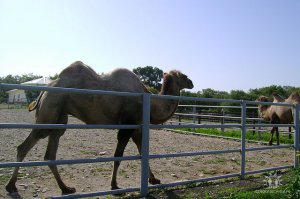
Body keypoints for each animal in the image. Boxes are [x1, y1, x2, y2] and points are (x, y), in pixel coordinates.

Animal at [5, 61, 195, 194]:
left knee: (50, 152)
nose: (192, 82)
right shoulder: (126, 126)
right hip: (50, 110)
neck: (149, 102)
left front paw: (154, 180)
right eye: (183, 75)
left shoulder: (136, 127)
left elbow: (143, 152)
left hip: (60, 116)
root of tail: (44, 90)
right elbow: (118, 156)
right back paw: (11, 185)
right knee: (25, 146)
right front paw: (114, 185)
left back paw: (66, 188)